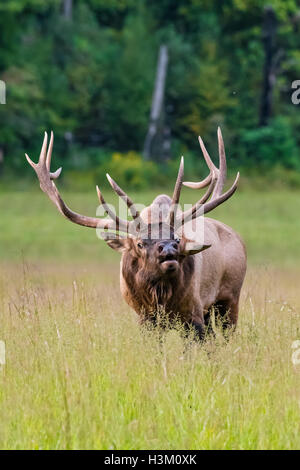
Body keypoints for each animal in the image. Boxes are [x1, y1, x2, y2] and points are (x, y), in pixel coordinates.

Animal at [25, 130, 246, 340]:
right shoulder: (145, 317)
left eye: (177, 239)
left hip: (230, 297)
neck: (161, 296)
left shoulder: (193, 312)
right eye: (140, 243)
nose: (168, 249)